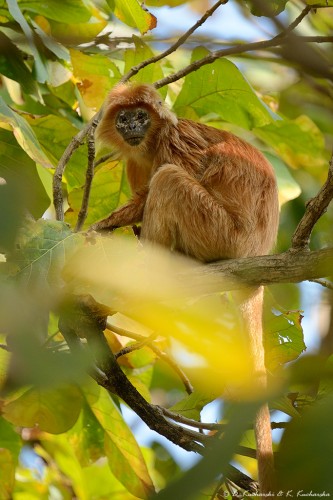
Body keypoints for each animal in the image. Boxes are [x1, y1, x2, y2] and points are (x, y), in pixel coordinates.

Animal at [92, 83, 278, 496]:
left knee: (168, 180)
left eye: (141, 116)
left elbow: (162, 184)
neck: (148, 144)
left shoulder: (175, 142)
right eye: (124, 118)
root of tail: (258, 251)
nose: (132, 125)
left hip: (219, 231)